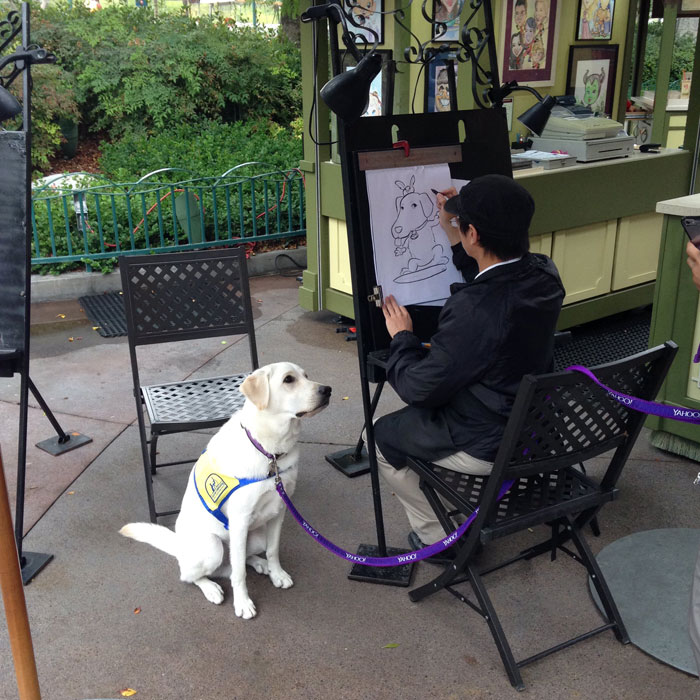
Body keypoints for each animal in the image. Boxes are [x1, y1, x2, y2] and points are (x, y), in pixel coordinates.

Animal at [120, 360, 330, 616]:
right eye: (288, 379)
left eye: (306, 376)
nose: (327, 390)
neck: (269, 452)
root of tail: (179, 545)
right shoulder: (239, 521)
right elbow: (239, 573)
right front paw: (242, 603)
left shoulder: (278, 512)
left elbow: (272, 550)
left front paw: (277, 573)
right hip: (212, 547)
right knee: (195, 574)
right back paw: (210, 588)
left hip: (255, 536)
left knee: (234, 562)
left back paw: (260, 563)